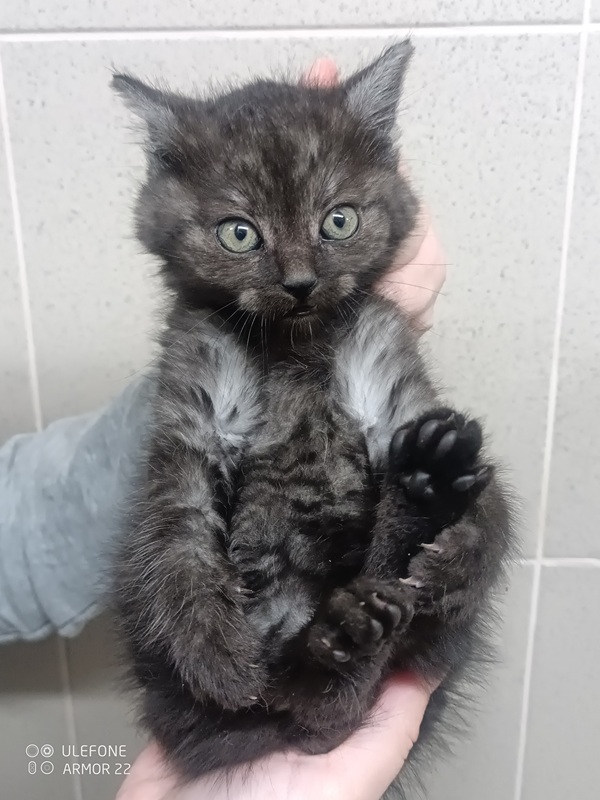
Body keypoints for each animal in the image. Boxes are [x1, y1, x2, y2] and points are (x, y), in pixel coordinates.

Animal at [112, 40, 516, 798]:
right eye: (240, 233)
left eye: (339, 220)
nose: (299, 283)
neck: (294, 348)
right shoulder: (188, 421)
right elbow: (174, 537)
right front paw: (212, 650)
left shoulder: (399, 387)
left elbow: (494, 505)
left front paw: (459, 555)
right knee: (319, 708)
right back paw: (341, 632)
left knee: (346, 691)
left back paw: (413, 514)